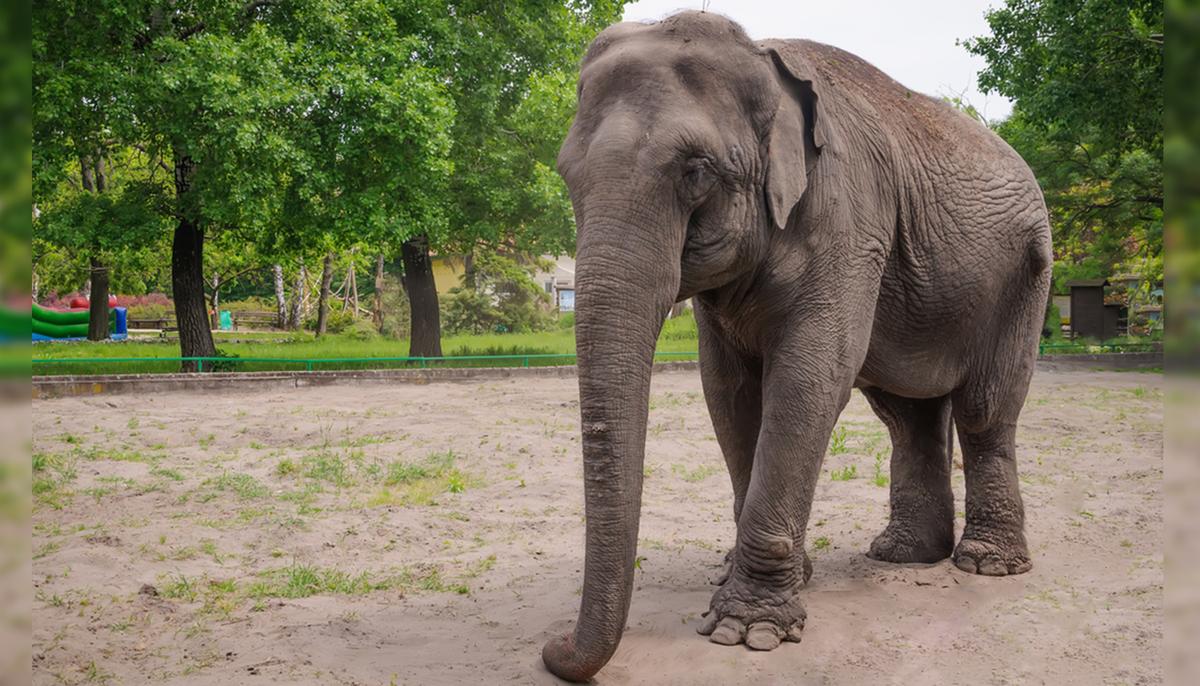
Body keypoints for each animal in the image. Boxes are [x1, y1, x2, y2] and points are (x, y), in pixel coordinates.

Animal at [541, 11, 1052, 682]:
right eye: (567, 176)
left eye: (695, 171)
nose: (553, 650)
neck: (761, 55)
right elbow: (728, 391)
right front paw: (749, 579)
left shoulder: (849, 220)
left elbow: (810, 379)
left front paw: (745, 630)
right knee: (907, 415)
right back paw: (903, 555)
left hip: (1024, 277)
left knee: (985, 410)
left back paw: (985, 564)